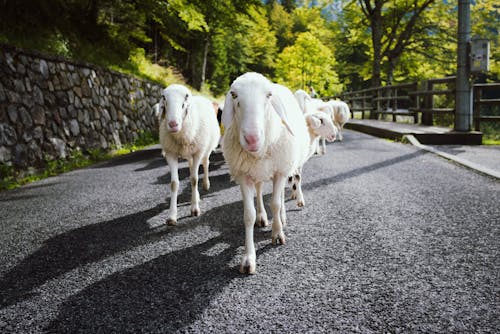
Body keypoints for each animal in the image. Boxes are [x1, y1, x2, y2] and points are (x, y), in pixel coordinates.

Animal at [156, 83, 219, 226]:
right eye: (164, 98)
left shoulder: (198, 152)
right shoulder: (171, 153)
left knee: (205, 164)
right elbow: (174, 183)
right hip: (190, 153)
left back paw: (206, 184)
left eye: (185, 98)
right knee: (191, 168)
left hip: (205, 148)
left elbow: (194, 179)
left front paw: (194, 209)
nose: (173, 124)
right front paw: (172, 216)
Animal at [222, 72, 308, 272]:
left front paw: (277, 234)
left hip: (285, 165)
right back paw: (262, 216)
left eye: (269, 95)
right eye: (234, 95)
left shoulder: (280, 171)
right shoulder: (243, 175)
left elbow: (275, 204)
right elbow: (248, 215)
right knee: (260, 191)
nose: (252, 139)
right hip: (258, 171)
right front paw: (248, 259)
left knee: (280, 197)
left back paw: (282, 218)